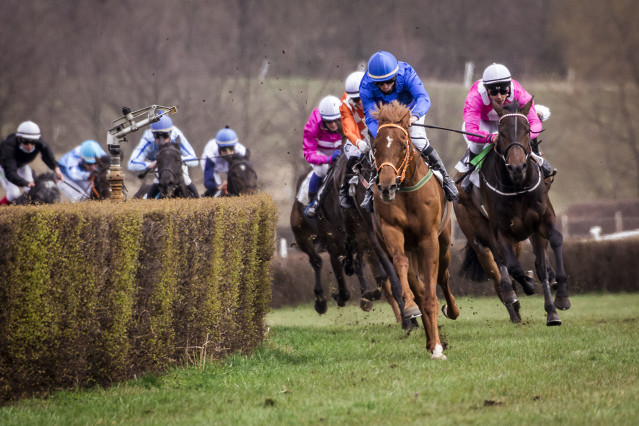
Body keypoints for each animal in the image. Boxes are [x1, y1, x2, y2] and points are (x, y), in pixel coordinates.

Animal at [292, 155, 390, 314]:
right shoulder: (333, 246)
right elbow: (344, 289)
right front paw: (339, 296)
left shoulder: (363, 239)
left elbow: (361, 265)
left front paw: (366, 296)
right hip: (302, 237)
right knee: (316, 261)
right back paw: (320, 301)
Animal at [370, 100, 460, 360]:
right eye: (375, 147)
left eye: (402, 145)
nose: (386, 187)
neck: (407, 189)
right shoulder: (392, 232)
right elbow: (404, 270)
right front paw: (410, 307)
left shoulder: (429, 240)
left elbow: (431, 295)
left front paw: (438, 349)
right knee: (417, 286)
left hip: (444, 243)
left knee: (443, 277)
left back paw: (451, 312)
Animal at [452, 99, 572, 326]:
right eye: (501, 132)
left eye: (527, 130)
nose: (517, 168)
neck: (517, 187)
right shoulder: (501, 230)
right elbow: (513, 267)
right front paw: (527, 286)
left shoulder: (541, 220)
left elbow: (552, 246)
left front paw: (557, 303)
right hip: (477, 232)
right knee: (500, 263)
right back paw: (511, 297)